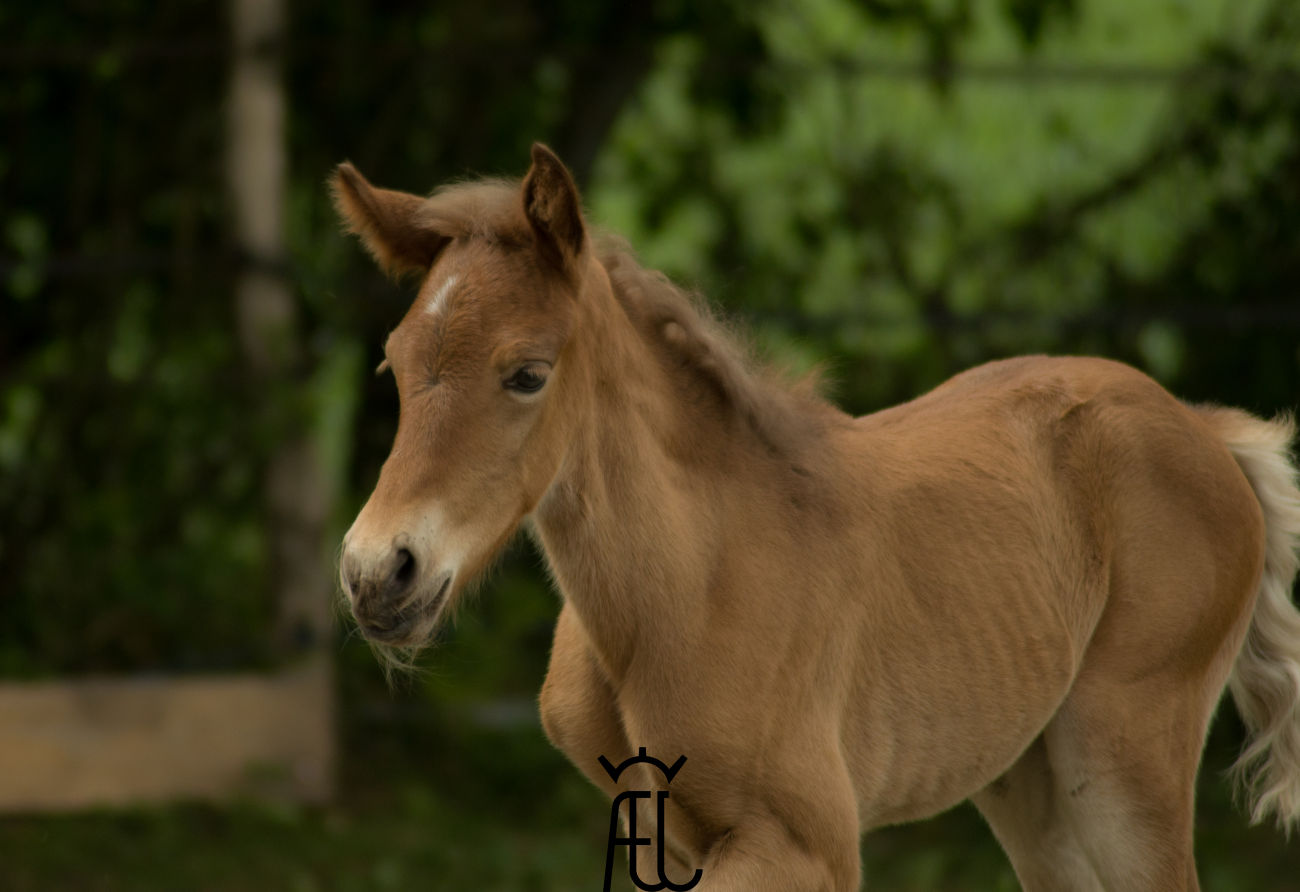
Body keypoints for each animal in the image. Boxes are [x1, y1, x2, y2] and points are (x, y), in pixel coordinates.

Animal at [335, 143, 1300, 889]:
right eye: (391, 366)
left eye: (528, 374)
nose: (378, 572)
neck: (688, 589)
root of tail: (1203, 429)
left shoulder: (806, 844)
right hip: (1028, 776)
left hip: (1123, 758)